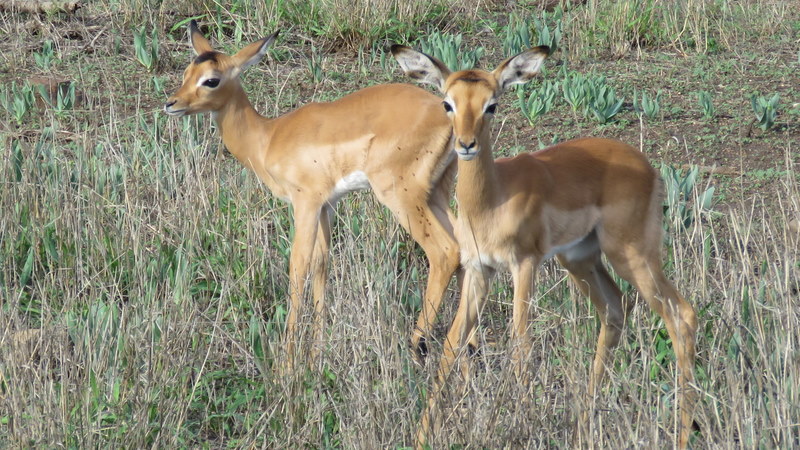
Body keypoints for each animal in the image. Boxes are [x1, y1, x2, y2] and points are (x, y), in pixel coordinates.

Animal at [164, 21, 461, 367]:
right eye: (187, 71)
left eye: (211, 79)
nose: (171, 104)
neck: (268, 137)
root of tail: (448, 116)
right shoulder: (326, 205)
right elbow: (321, 263)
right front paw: (318, 352)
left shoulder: (304, 202)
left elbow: (298, 265)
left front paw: (288, 363)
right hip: (436, 194)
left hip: (402, 196)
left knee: (444, 251)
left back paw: (417, 346)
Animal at [392, 45, 698, 448]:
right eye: (448, 103)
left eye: (492, 104)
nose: (466, 144)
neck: (492, 201)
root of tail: (646, 165)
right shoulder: (478, 269)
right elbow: (452, 344)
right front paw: (423, 435)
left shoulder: (524, 264)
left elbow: (520, 342)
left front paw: (524, 426)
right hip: (580, 259)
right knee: (615, 309)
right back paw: (585, 423)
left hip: (632, 255)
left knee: (681, 314)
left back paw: (684, 432)